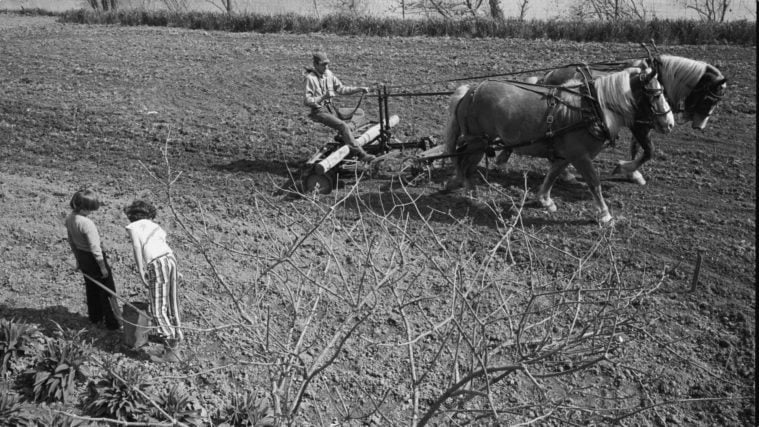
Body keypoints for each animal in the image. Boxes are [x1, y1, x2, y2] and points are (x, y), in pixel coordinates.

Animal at [446, 64, 676, 224]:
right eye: (656, 94)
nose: (670, 123)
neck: (592, 109)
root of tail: (471, 90)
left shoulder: (567, 155)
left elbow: (553, 174)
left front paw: (545, 200)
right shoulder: (580, 155)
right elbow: (594, 182)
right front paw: (605, 215)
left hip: (478, 141)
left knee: (463, 161)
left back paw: (459, 184)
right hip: (478, 141)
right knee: (464, 163)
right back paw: (469, 191)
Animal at [532, 53, 728, 184]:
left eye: (718, 100)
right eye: (709, 99)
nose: (700, 126)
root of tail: (549, 75)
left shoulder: (643, 124)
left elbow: (636, 148)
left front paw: (632, 174)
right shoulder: (639, 125)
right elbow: (649, 151)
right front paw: (626, 168)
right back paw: (565, 174)